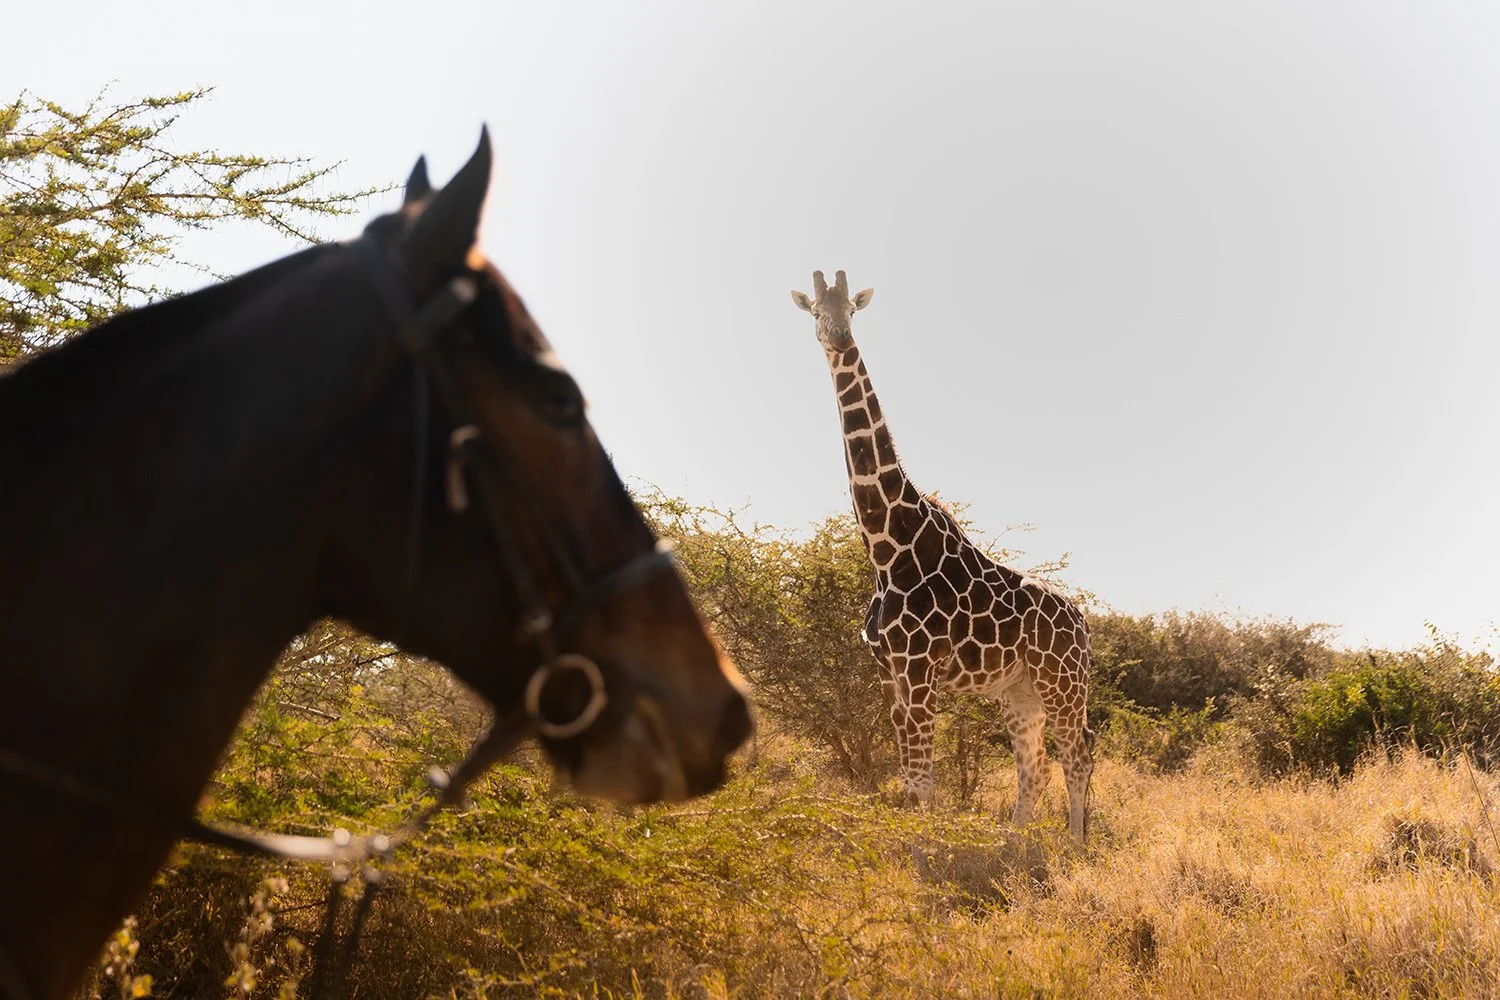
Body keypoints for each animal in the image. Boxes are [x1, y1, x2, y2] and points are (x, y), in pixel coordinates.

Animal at [791, 270, 1096, 840]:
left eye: (852, 309)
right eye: (816, 309)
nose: (839, 337)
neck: (888, 548)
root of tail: (1085, 624)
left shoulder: (919, 669)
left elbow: (921, 783)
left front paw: (922, 850)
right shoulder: (889, 673)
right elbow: (909, 779)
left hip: (1062, 682)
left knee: (1077, 755)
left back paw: (1076, 847)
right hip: (1020, 691)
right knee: (1036, 764)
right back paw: (1013, 843)